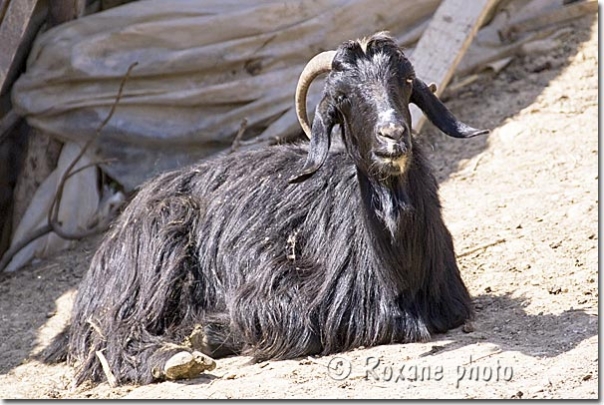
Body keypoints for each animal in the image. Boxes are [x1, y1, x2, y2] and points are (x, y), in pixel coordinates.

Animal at [44, 32, 490, 386]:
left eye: (406, 83)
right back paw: (175, 358)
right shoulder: (273, 286)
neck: (398, 270)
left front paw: (203, 332)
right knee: (108, 333)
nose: (392, 136)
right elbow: (280, 324)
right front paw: (204, 334)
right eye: (342, 97)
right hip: (156, 249)